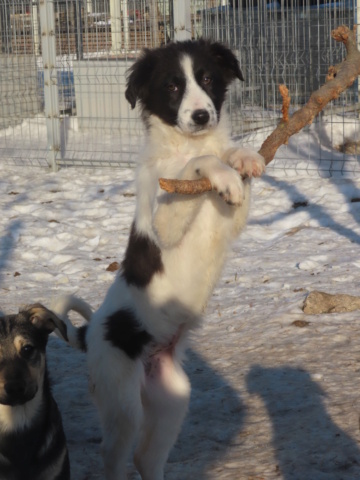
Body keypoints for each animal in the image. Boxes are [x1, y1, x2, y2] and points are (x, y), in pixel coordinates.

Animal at [51, 38, 264, 480]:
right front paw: (219, 169)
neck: (188, 143)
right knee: (115, 456)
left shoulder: (230, 221)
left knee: (146, 459)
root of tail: (90, 331)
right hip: (122, 401)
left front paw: (243, 157)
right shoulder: (164, 218)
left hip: (172, 399)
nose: (201, 116)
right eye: (171, 87)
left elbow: (230, 167)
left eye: (207, 79)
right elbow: (197, 165)